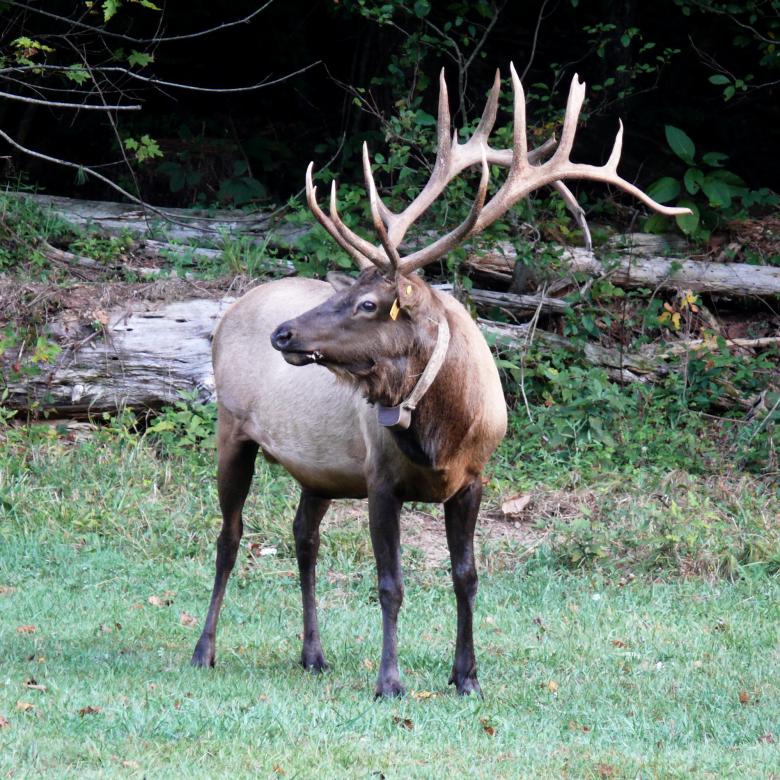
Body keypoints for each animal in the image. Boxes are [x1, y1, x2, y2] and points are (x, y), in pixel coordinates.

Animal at [191, 64, 690, 698]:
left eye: (368, 304)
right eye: (349, 292)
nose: (284, 334)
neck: (442, 435)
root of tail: (232, 308)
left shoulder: (474, 479)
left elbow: (466, 575)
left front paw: (467, 677)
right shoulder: (379, 479)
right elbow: (391, 584)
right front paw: (390, 681)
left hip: (318, 469)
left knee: (304, 536)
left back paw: (313, 654)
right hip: (232, 428)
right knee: (229, 536)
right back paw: (204, 649)